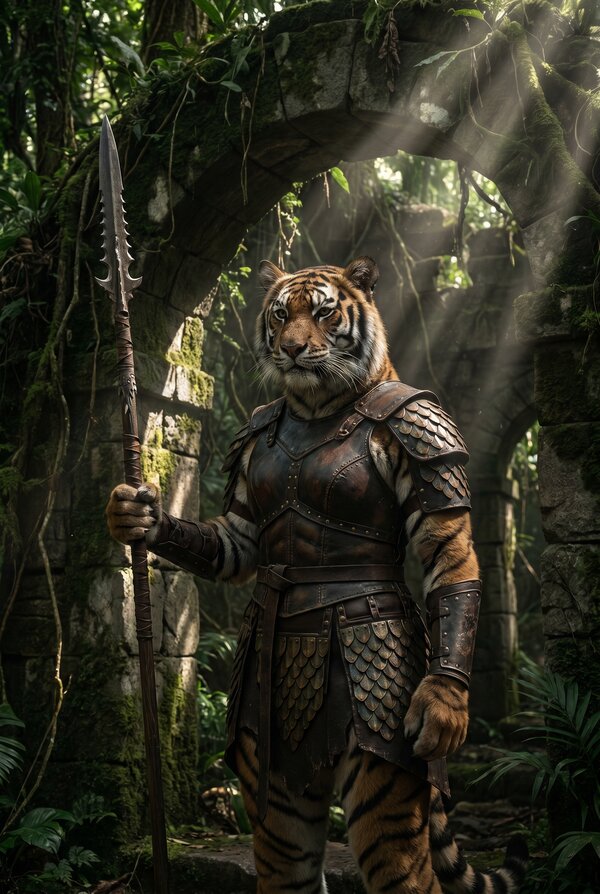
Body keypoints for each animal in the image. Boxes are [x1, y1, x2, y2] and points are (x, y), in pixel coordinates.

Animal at [106, 256, 528, 893]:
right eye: (282, 314)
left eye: (326, 312)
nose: (292, 349)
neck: (314, 405)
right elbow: (234, 541)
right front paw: (137, 516)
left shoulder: (425, 435)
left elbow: (449, 565)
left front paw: (444, 705)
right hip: (276, 786)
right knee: (287, 862)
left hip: (380, 776)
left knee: (403, 866)